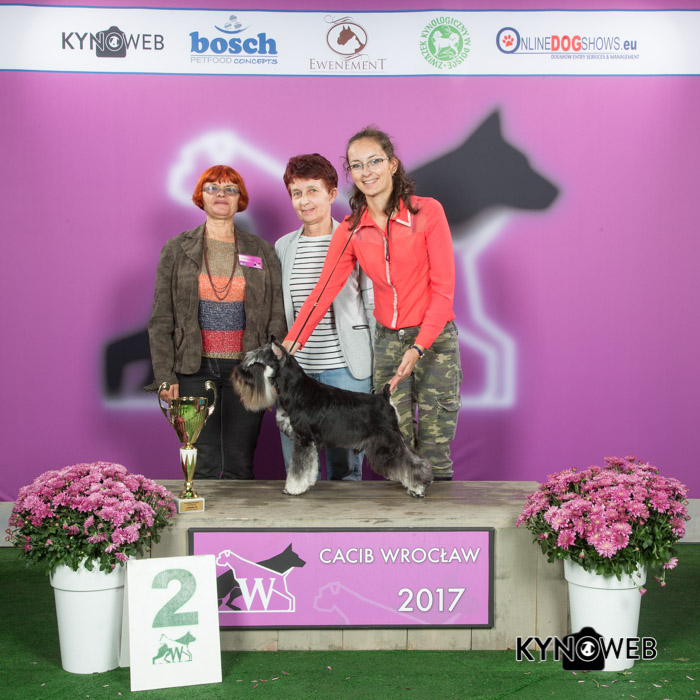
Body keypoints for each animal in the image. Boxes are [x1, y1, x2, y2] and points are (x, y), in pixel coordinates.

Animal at [231, 339, 433, 498]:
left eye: (256, 363)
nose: (237, 374)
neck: (295, 388)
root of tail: (385, 397)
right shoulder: (308, 443)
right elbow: (309, 466)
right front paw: (306, 483)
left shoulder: (303, 439)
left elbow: (298, 468)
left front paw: (293, 488)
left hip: (389, 440)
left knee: (412, 462)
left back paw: (418, 488)